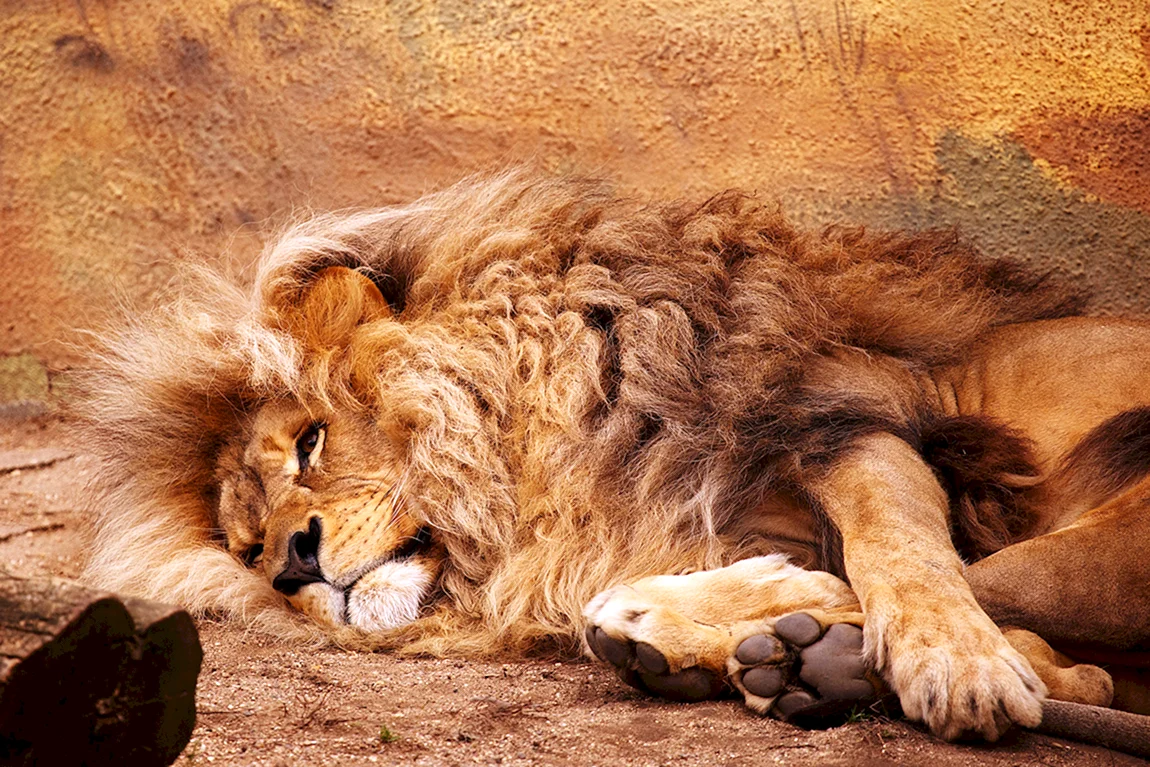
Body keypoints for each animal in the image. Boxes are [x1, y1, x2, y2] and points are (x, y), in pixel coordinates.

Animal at [79, 170, 1150, 743]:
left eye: (310, 441)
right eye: (246, 547)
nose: (293, 564)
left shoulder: (838, 416)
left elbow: (900, 551)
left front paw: (953, 665)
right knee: (1095, 678)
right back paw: (788, 659)